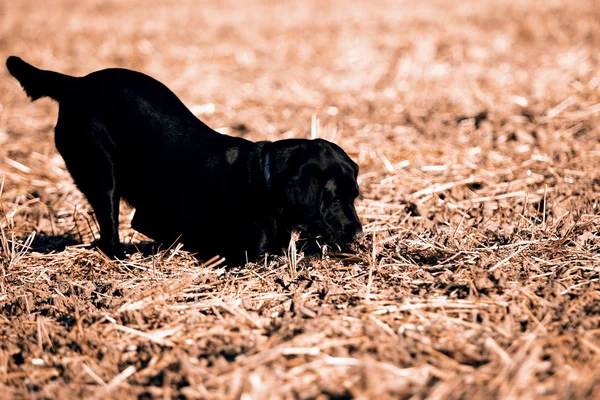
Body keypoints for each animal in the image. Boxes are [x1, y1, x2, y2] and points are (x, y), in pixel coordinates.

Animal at [5, 55, 360, 262]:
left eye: (354, 196)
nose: (358, 233)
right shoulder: (247, 252)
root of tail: (76, 84)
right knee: (109, 232)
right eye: (331, 199)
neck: (265, 178)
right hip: (102, 174)